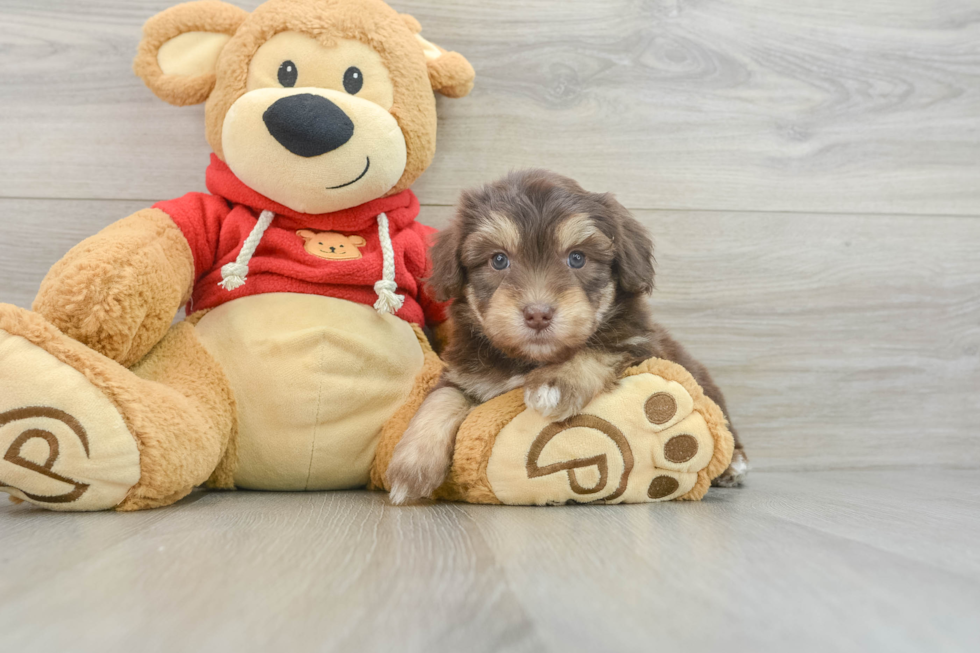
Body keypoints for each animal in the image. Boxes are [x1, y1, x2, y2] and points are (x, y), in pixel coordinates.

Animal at [386, 169, 748, 504]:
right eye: (498, 260)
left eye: (577, 258)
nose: (538, 313)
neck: (531, 361)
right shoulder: (465, 372)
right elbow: (441, 399)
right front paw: (410, 467)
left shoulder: (637, 344)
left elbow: (596, 347)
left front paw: (556, 383)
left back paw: (733, 466)